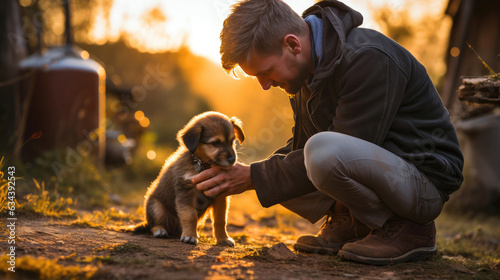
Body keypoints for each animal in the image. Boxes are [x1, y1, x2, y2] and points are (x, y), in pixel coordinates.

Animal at [132, 110, 243, 246]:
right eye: (215, 143)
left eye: (232, 141)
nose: (232, 160)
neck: (204, 165)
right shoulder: (185, 190)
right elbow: (189, 215)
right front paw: (190, 236)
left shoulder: (220, 194)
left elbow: (220, 219)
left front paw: (223, 238)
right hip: (156, 206)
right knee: (153, 224)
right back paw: (160, 231)